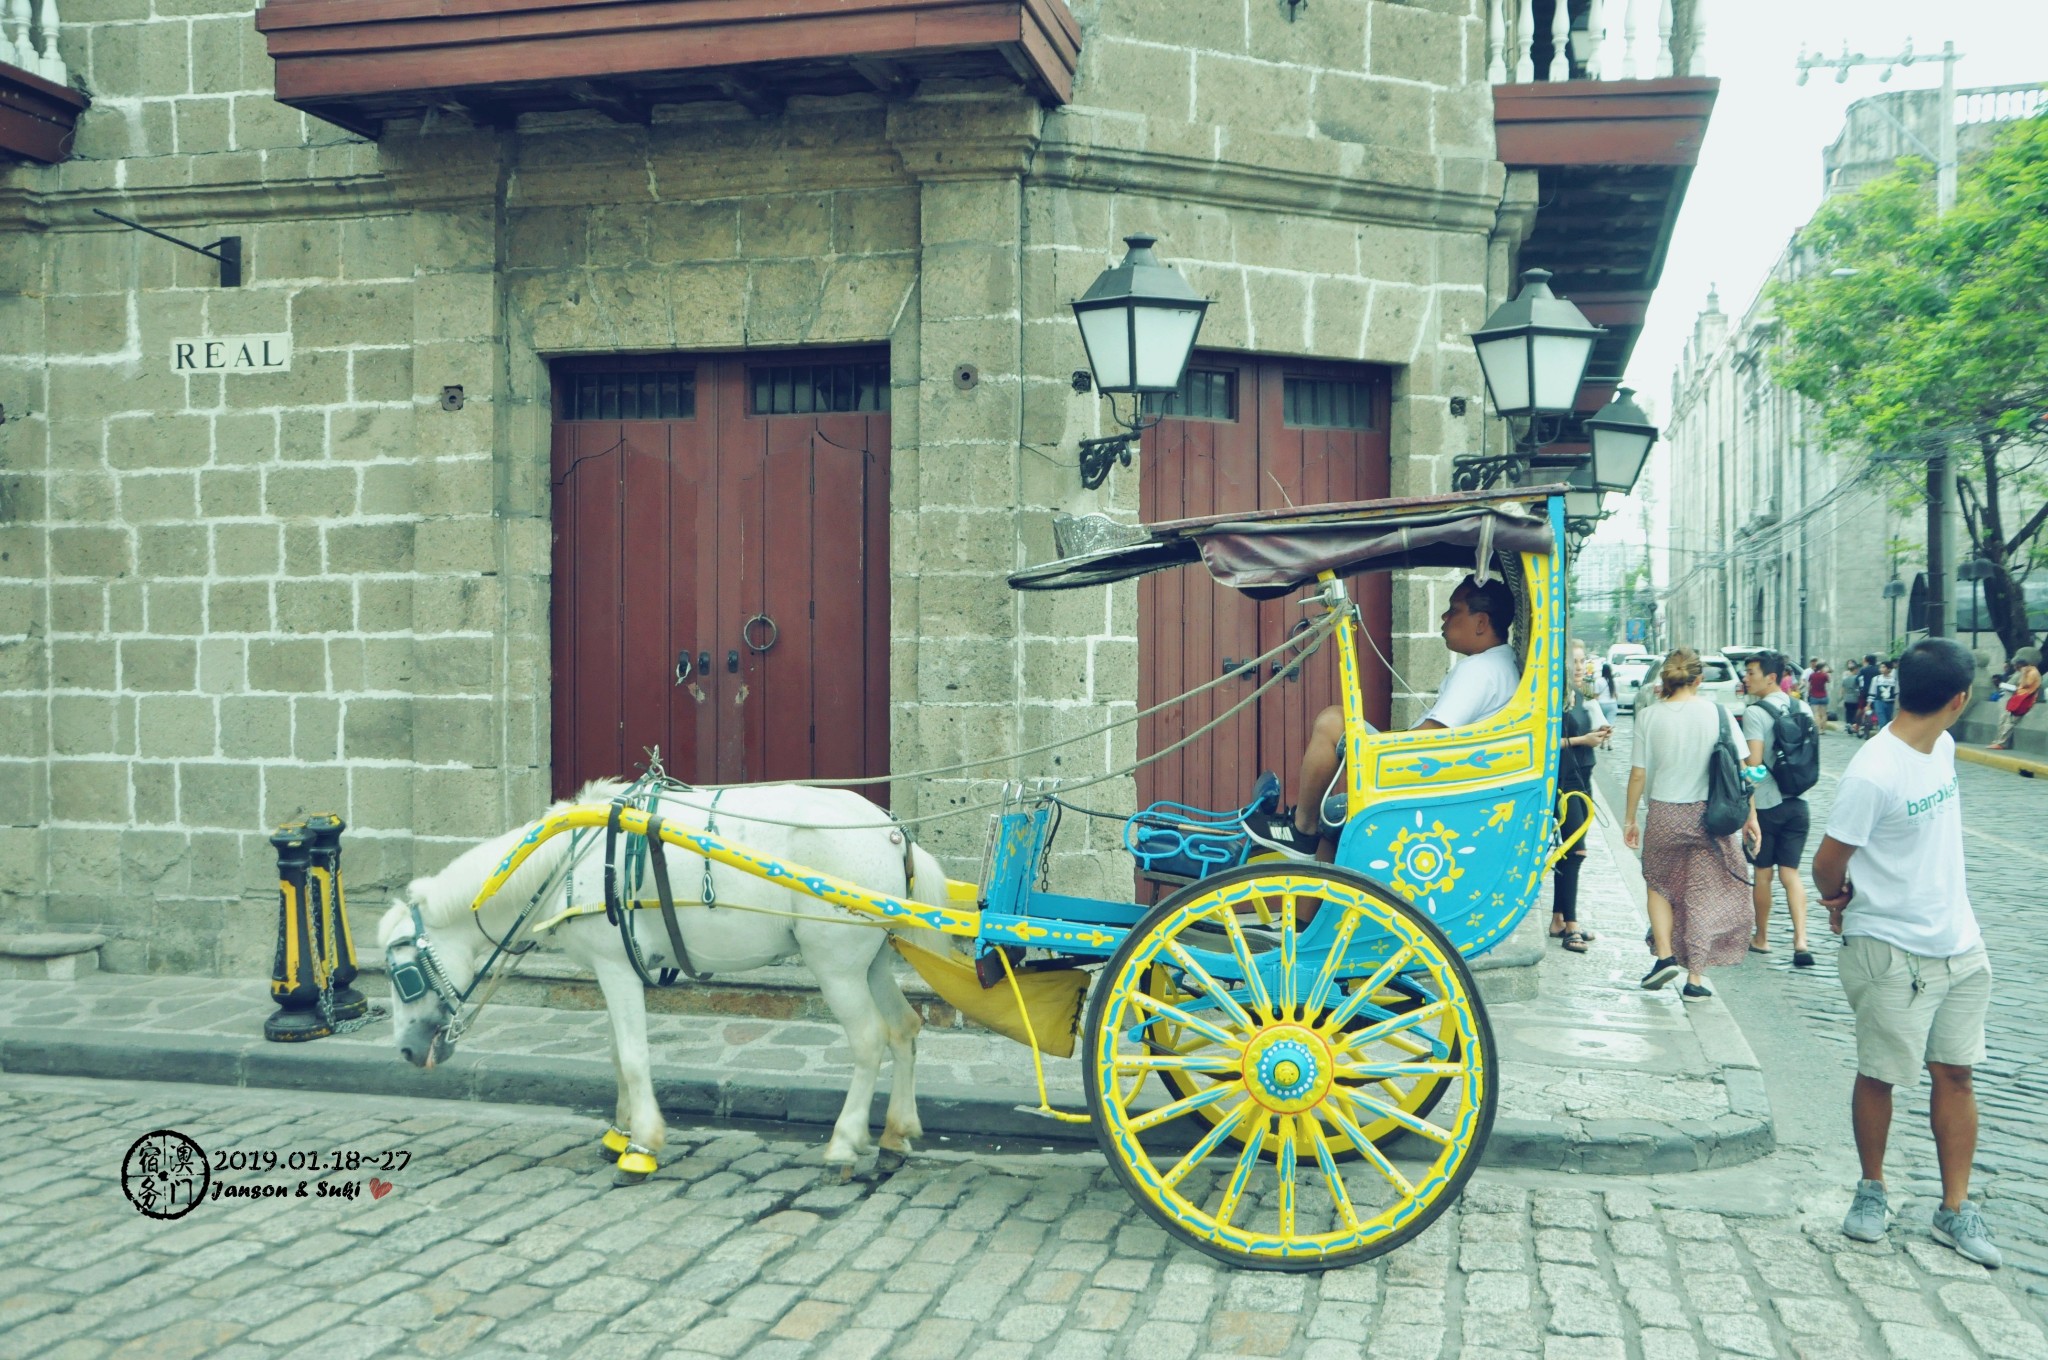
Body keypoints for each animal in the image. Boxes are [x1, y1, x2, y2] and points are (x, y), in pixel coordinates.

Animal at [376, 782, 950, 1187]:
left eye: (402, 975)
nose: (404, 1051)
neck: (569, 860)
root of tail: (893, 832)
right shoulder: (611, 971)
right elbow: (615, 1053)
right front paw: (620, 1132)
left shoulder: (615, 967)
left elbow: (633, 1056)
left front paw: (641, 1148)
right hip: (870, 962)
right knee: (903, 1028)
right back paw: (895, 1137)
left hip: (836, 965)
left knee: (869, 1041)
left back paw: (843, 1146)